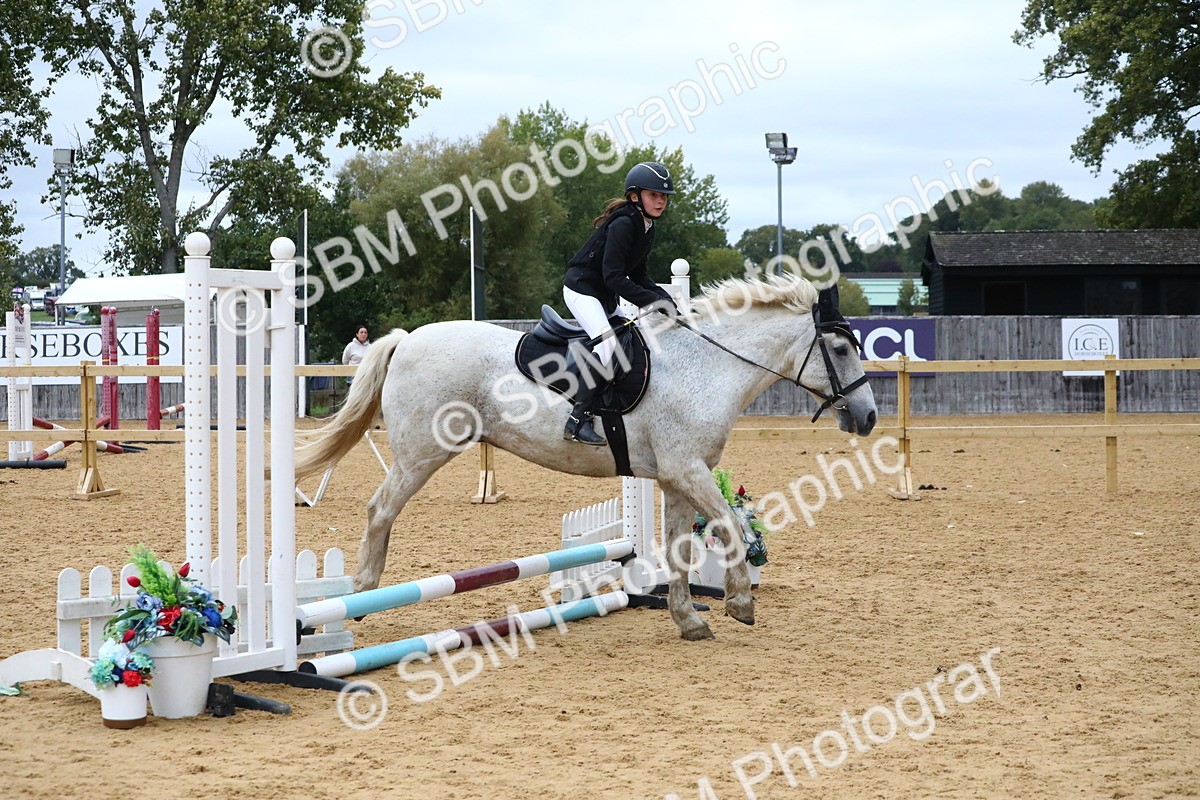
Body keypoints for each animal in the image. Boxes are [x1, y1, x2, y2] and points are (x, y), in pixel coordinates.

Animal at [294, 274, 878, 641]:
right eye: (840, 348)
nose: (868, 417)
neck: (706, 366)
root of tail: (406, 339)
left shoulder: (676, 477)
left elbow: (680, 550)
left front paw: (689, 620)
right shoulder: (688, 470)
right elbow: (733, 527)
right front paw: (739, 603)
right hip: (422, 453)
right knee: (380, 509)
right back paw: (360, 595)